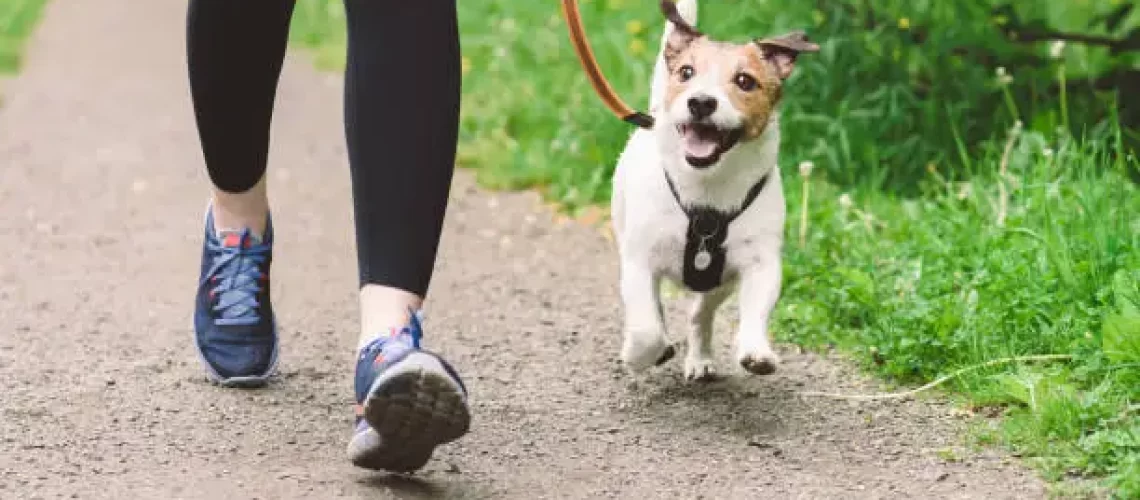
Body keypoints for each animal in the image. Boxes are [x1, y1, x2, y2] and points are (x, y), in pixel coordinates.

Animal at [611, 0, 816, 382]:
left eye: (745, 81)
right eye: (686, 72)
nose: (702, 102)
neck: (706, 189)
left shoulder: (760, 263)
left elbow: (755, 309)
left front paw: (755, 351)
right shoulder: (639, 260)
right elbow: (646, 327)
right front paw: (638, 354)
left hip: (719, 282)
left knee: (700, 314)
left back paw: (700, 357)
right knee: (656, 311)